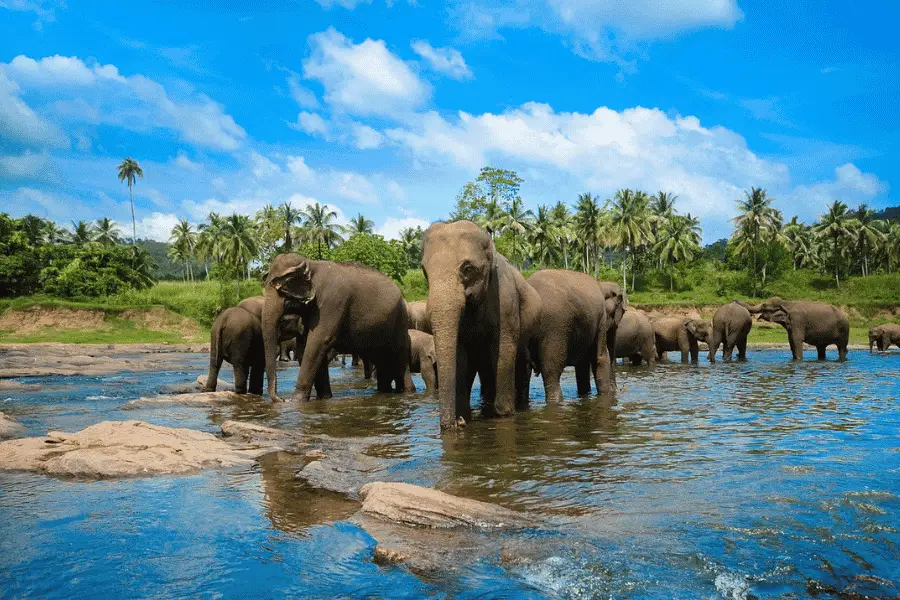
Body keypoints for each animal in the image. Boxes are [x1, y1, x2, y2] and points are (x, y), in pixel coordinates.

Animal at [261, 253, 412, 402]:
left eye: (282, 289)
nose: (281, 399)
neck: (311, 264)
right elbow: (305, 346)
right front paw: (324, 398)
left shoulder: (332, 302)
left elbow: (318, 342)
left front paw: (296, 401)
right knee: (382, 361)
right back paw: (384, 391)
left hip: (400, 322)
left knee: (399, 359)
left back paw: (407, 391)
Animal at [421, 220, 542, 431]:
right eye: (424, 272)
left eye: (467, 268)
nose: (457, 423)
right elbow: (460, 357)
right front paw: (464, 415)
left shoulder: (506, 301)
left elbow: (503, 351)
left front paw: (503, 415)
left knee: (521, 364)